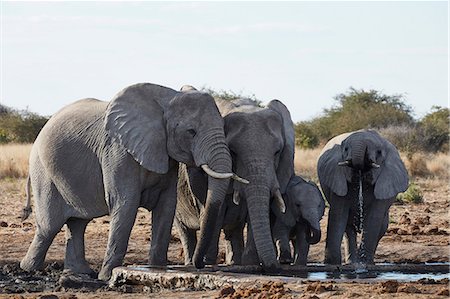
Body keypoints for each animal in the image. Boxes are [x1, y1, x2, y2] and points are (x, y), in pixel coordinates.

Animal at [19, 84, 244, 282]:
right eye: (191, 132)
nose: (200, 265)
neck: (166, 98)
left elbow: (166, 206)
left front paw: (157, 269)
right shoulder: (117, 150)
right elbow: (125, 203)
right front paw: (107, 276)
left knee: (77, 223)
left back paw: (80, 273)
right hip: (43, 170)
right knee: (49, 226)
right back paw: (29, 269)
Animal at [175, 90, 296, 270]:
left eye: (277, 152)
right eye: (232, 152)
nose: (277, 266)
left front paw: (251, 263)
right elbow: (215, 209)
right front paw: (207, 262)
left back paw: (234, 262)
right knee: (185, 230)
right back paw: (192, 262)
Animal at [318, 130, 410, 266]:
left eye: (379, 152)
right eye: (345, 149)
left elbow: (374, 219)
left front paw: (364, 264)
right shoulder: (337, 177)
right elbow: (338, 215)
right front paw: (331, 264)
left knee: (381, 227)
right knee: (348, 228)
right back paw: (351, 263)